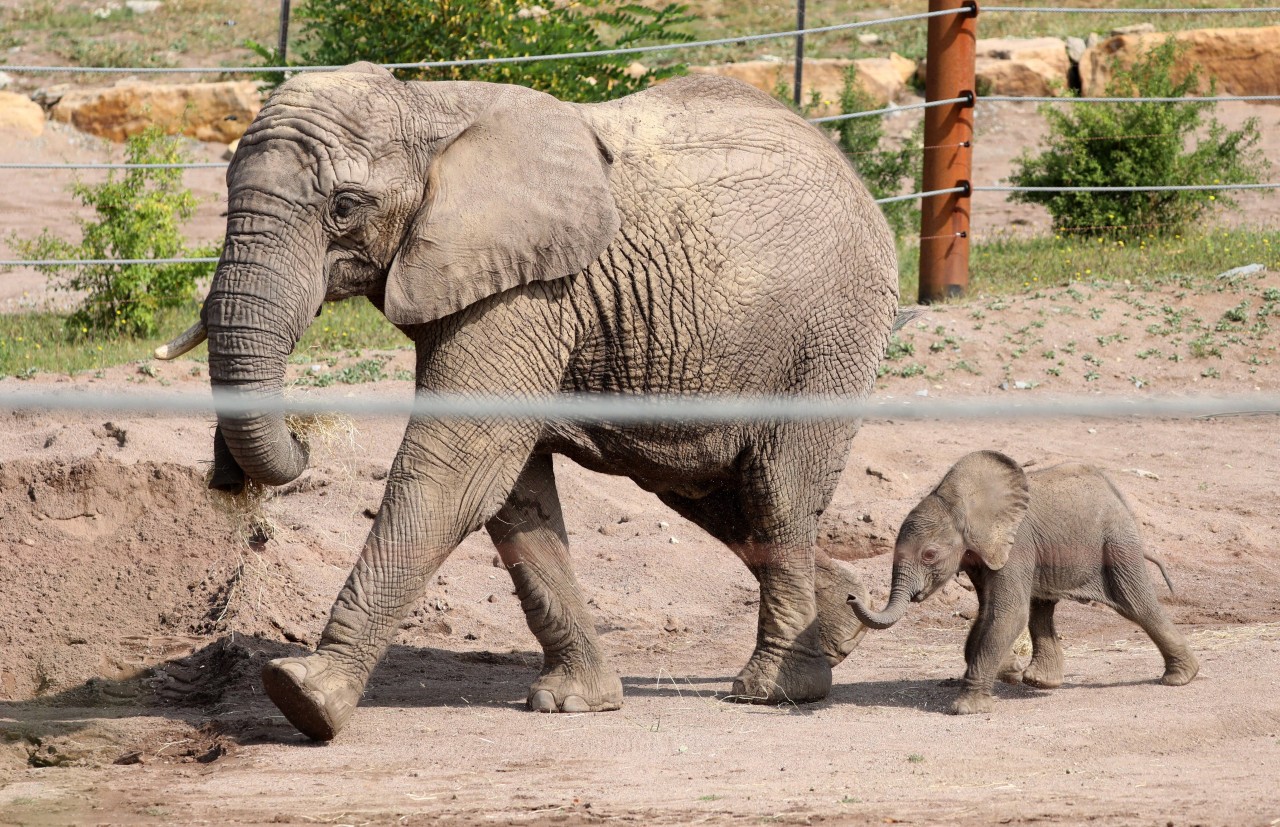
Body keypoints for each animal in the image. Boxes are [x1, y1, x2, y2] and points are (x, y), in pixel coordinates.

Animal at [849, 450, 1198, 716]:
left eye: (929, 554)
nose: (852, 597)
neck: (960, 502)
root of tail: (1116, 492)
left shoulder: (1015, 546)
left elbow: (1007, 613)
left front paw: (966, 708)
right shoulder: (982, 553)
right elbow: (989, 612)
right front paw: (1010, 671)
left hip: (1116, 541)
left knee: (1136, 603)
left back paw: (1179, 679)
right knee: (1042, 606)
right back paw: (1041, 682)